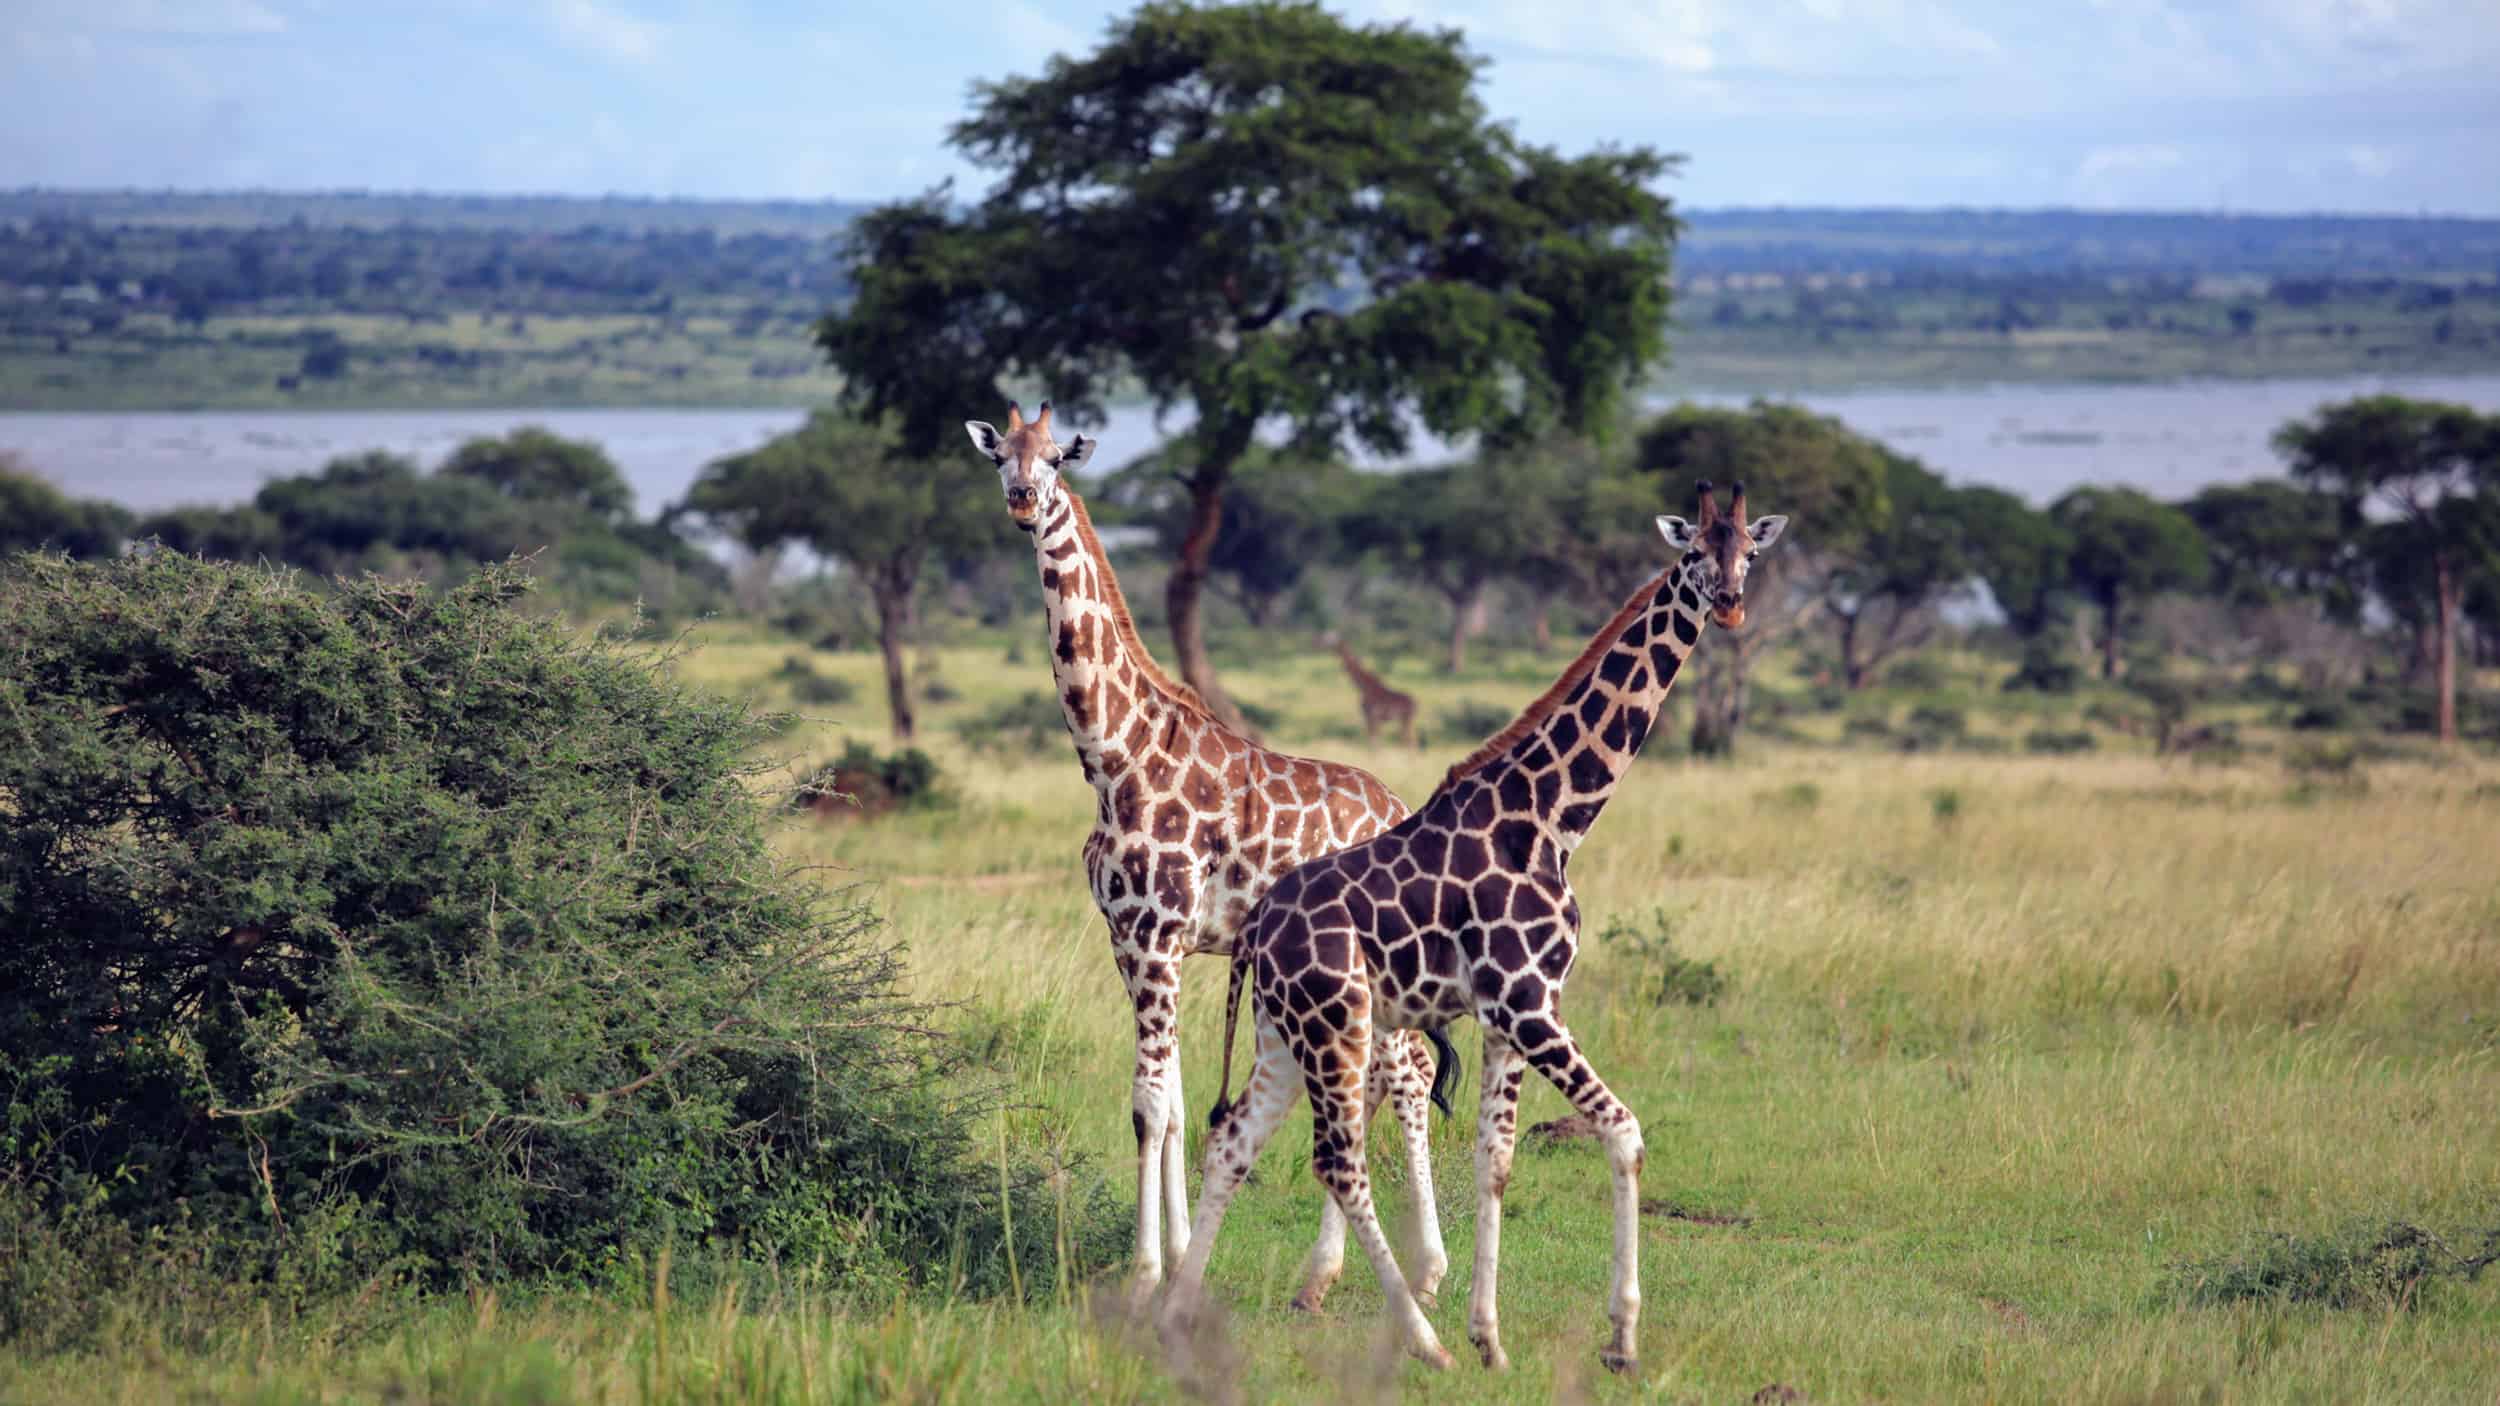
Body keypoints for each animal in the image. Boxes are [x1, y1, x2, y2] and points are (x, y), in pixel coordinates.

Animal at [963, 400, 1454, 1311]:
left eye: (1057, 457)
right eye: (1000, 455)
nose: (1021, 500)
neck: (1112, 755)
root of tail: (1401, 806)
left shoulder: (1158, 937)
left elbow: (1149, 1105)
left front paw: (1146, 1275)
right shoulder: (1132, 942)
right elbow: (1178, 1104)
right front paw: (1182, 1253)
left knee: (1401, 1079)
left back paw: (1422, 1271)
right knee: (1380, 1078)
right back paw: (1326, 1276)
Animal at [1162, 481, 1788, 1373]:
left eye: (1750, 552)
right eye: (1696, 551)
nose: (1731, 604)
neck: (1553, 819)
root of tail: (1257, 933)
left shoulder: (1504, 1017)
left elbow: (1496, 1161)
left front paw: (1491, 1338)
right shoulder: (1529, 1004)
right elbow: (1625, 1132)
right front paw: (1621, 1337)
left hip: (1285, 1034)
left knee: (1234, 1144)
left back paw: (1177, 1316)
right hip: (1338, 1024)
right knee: (1339, 1161)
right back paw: (1421, 1343)